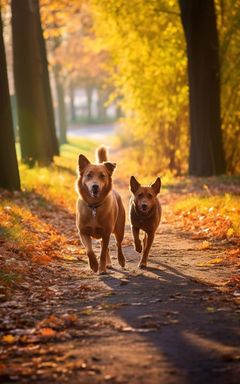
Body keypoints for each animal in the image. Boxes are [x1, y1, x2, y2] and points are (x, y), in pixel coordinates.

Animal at [76, 146, 125, 274]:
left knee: (118, 244)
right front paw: (94, 265)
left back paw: (121, 260)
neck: (94, 207)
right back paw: (108, 264)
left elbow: (102, 253)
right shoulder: (83, 232)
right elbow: (89, 250)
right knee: (106, 247)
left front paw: (102, 269)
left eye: (102, 175)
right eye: (89, 175)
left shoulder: (106, 233)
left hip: (119, 229)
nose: (95, 186)